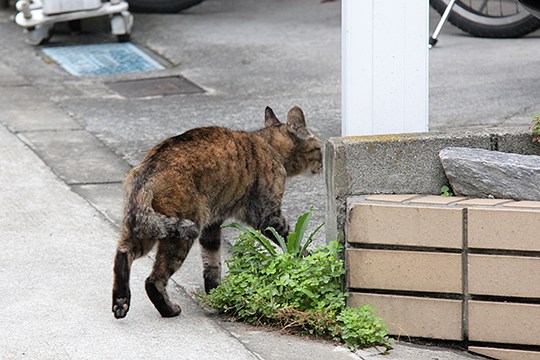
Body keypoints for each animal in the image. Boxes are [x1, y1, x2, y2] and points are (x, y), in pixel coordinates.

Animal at [110, 106, 320, 318]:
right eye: (319, 148)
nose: (322, 165)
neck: (270, 145)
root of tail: (146, 170)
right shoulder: (268, 216)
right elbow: (292, 239)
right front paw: (306, 260)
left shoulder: (212, 224)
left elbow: (212, 261)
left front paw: (216, 292)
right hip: (181, 232)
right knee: (153, 281)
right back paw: (169, 310)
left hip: (147, 227)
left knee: (123, 252)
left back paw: (121, 301)